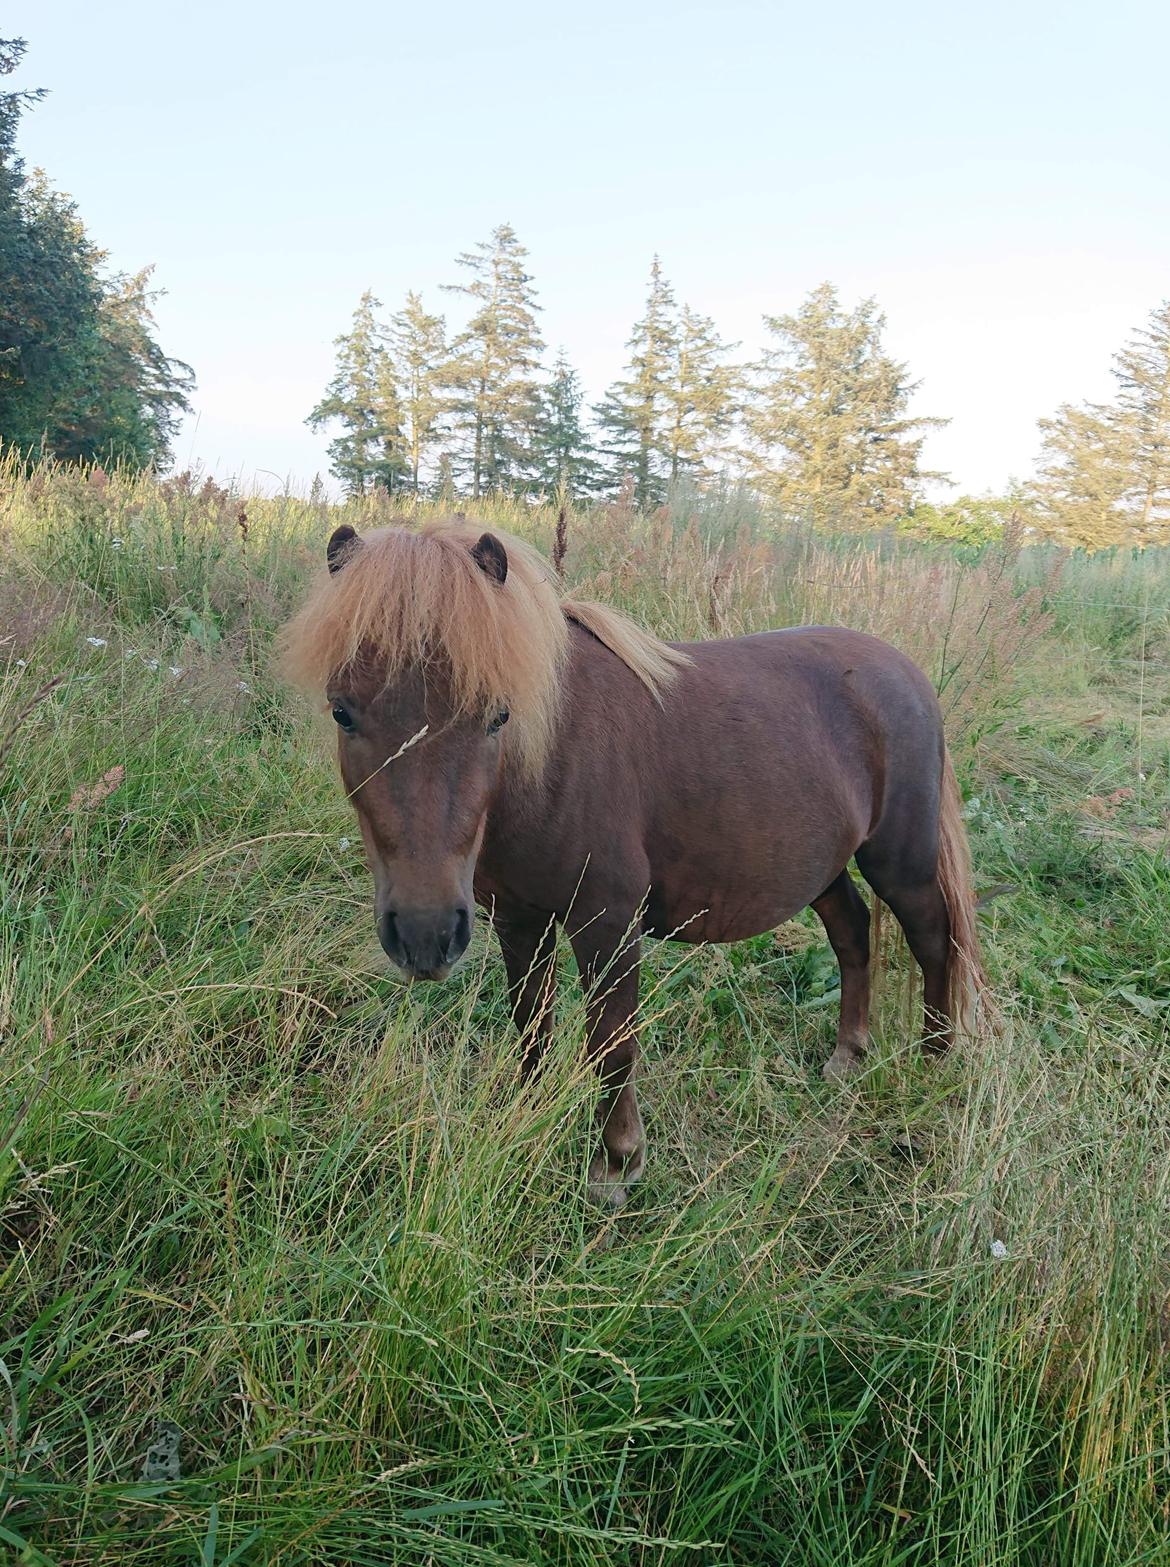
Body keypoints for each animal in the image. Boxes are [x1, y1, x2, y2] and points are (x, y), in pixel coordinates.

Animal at [283, 520, 989, 1203]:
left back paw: (934, 1057)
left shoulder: (607, 924)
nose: (424, 934)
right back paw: (848, 1054)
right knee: (852, 931)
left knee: (933, 939)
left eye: (498, 715)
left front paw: (616, 1164)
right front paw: (528, 1118)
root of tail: (904, 669)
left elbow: (611, 1045)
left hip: (901, 860)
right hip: (822, 867)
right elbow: (531, 1025)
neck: (547, 762)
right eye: (342, 712)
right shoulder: (519, 918)